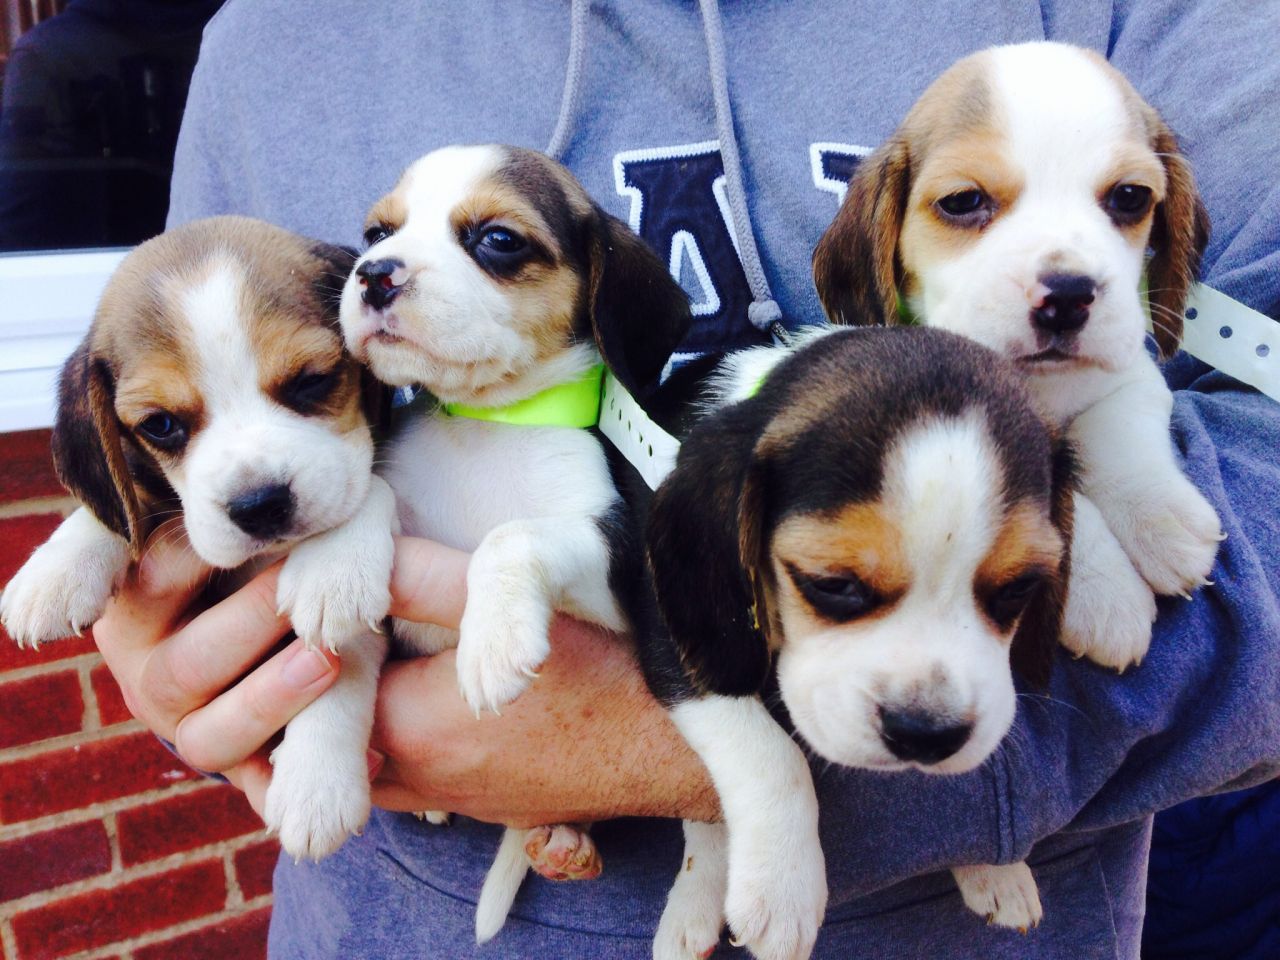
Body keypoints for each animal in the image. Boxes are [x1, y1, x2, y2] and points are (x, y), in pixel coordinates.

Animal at [0, 220, 396, 865]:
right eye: (160, 425)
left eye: (313, 381)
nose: (259, 504)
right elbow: (124, 507)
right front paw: (55, 571)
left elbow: (341, 665)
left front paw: (315, 788)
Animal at [340, 144, 696, 947]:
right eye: (378, 231)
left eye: (498, 239)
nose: (375, 273)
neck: (487, 425)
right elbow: (367, 498)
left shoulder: (609, 557)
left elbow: (512, 535)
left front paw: (493, 639)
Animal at [640, 327, 1070, 957]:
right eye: (833, 585)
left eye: (1019, 587)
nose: (925, 734)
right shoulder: (665, 625)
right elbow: (770, 751)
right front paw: (783, 884)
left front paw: (995, 867)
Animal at [814, 41, 1223, 670]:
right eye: (963, 201)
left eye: (1130, 197)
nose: (1068, 295)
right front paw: (1104, 594)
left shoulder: (1130, 373)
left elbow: (1115, 435)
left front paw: (1159, 514)